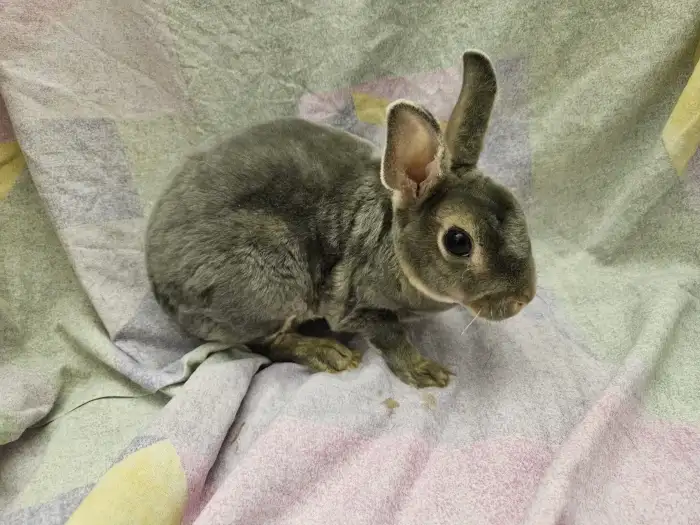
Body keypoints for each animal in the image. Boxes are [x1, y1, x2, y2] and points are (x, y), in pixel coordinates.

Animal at [145, 50, 536, 388]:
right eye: (458, 242)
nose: (524, 299)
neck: (392, 242)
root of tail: (158, 282)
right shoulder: (357, 306)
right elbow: (392, 337)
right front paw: (426, 372)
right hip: (270, 280)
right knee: (265, 343)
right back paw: (329, 354)